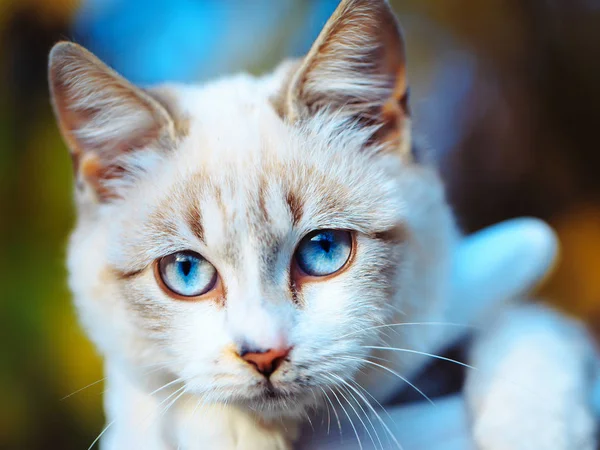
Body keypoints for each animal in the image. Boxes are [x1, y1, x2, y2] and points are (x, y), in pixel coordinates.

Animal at [47, 0, 596, 450]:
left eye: (324, 249)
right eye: (185, 271)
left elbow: (526, 332)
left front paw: (533, 430)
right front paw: (221, 428)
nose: (263, 355)